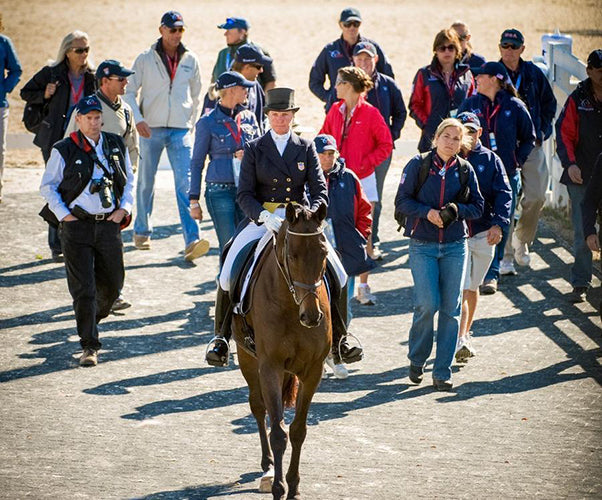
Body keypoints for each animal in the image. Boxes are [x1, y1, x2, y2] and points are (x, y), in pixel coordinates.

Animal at [232, 203, 330, 500]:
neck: (290, 304)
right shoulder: (270, 367)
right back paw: (266, 467)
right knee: (258, 406)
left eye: (324, 253)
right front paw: (278, 487)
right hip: (247, 359)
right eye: (292, 255)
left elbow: (298, 430)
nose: (312, 316)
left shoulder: (312, 371)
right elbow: (277, 432)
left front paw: (294, 487)